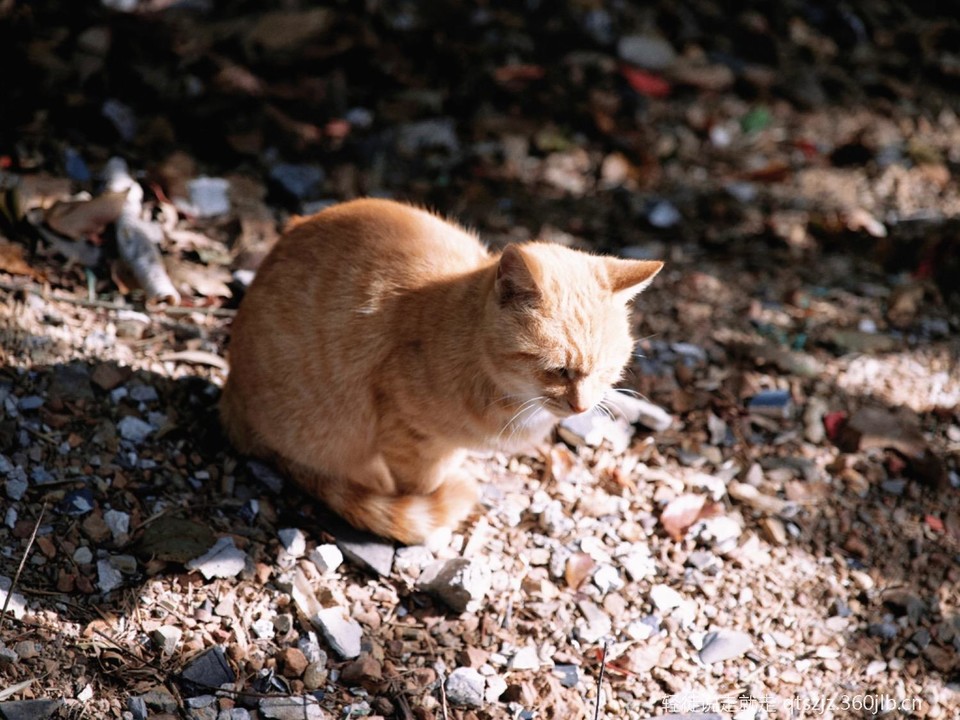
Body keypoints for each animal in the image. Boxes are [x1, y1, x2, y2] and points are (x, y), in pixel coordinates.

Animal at [219, 199, 662, 544]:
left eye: (607, 370)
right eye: (558, 370)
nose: (582, 408)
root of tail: (231, 400)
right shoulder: (409, 437)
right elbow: (423, 488)